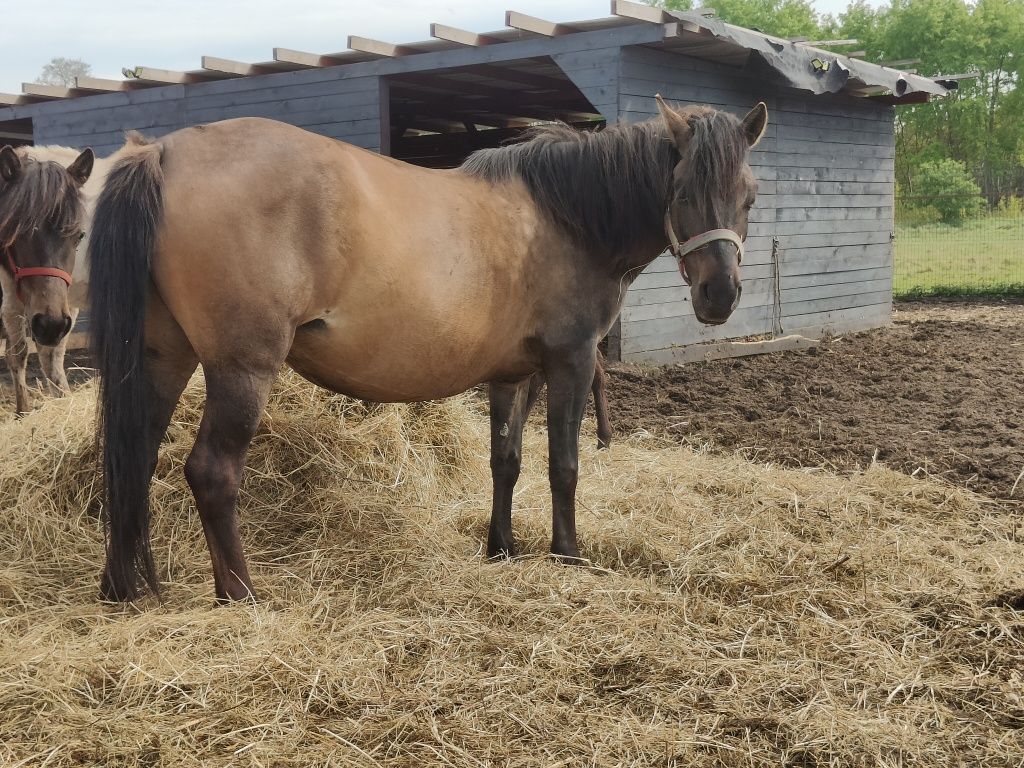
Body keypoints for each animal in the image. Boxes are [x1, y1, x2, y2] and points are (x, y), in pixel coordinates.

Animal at [0, 146, 96, 411]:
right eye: (14, 231)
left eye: (79, 235)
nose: (50, 324)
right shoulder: (12, 301)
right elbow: (18, 353)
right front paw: (22, 412)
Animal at [81, 97, 761, 602]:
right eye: (683, 190)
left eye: (749, 195)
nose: (721, 294)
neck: (564, 214)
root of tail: (161, 153)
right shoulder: (570, 361)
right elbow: (563, 464)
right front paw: (567, 556)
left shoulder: (513, 374)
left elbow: (507, 461)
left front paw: (501, 548)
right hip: (241, 368)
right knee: (211, 472)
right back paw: (242, 594)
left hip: (162, 360)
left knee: (133, 457)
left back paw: (123, 588)